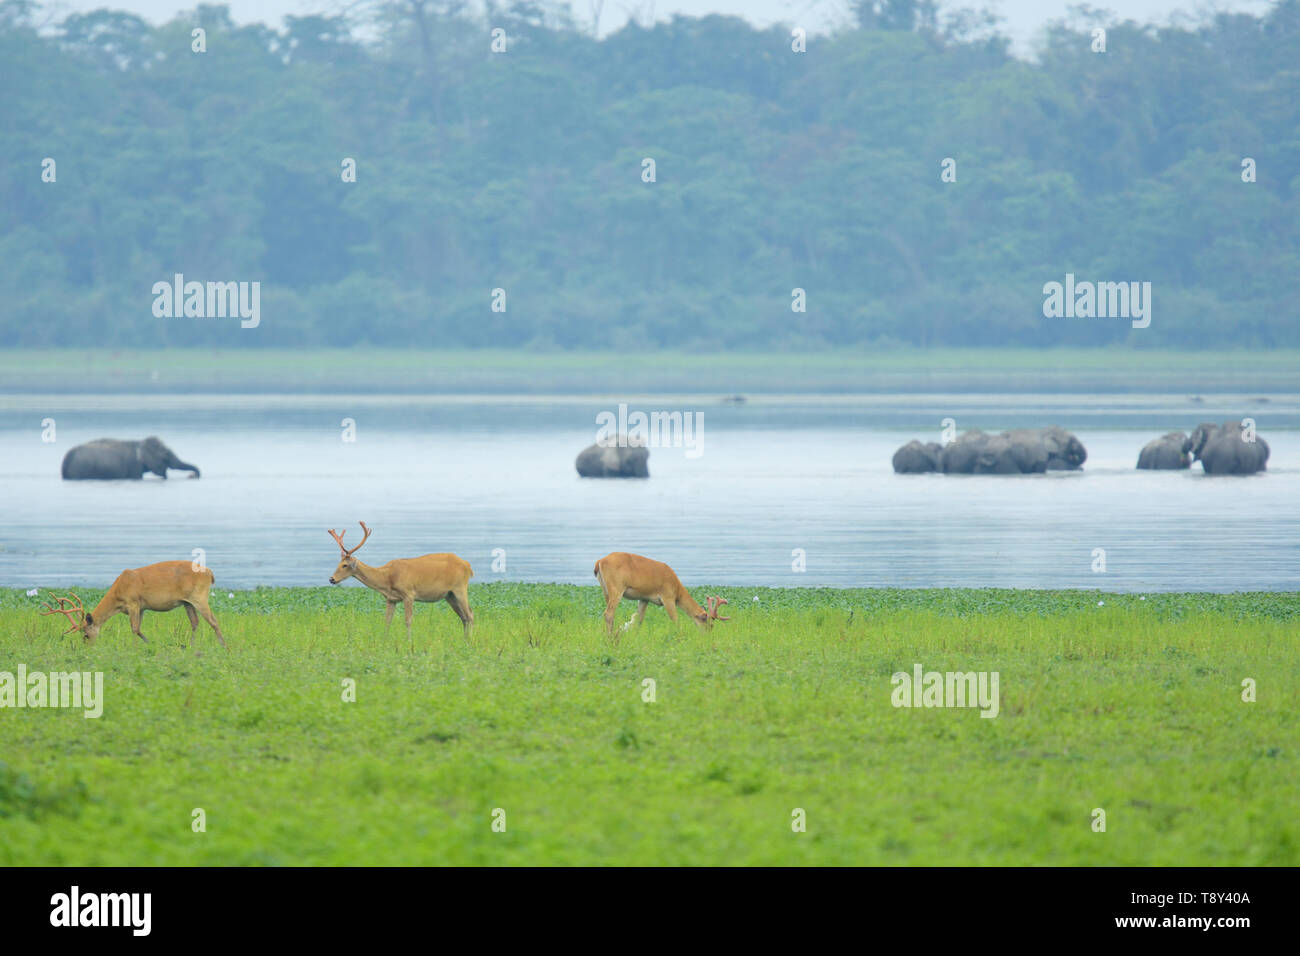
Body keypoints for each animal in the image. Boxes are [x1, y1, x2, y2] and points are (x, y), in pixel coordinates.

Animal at [37, 561, 226, 650]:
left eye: (86, 635)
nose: (87, 648)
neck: (117, 596)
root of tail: (210, 573)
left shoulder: (134, 603)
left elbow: (134, 629)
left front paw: (136, 649)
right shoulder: (141, 607)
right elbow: (139, 629)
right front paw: (150, 644)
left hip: (199, 596)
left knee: (214, 621)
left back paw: (224, 647)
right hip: (187, 602)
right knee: (195, 623)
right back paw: (192, 647)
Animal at [327, 522, 475, 642]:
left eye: (345, 565)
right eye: (338, 563)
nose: (331, 579)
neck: (386, 579)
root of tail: (468, 565)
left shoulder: (409, 593)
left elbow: (408, 620)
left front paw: (408, 641)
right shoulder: (391, 598)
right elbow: (387, 620)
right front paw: (384, 641)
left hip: (460, 588)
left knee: (470, 614)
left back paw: (471, 641)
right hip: (449, 595)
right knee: (463, 617)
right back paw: (465, 639)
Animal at [592, 554, 728, 634]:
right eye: (710, 624)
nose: (708, 636)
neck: (678, 591)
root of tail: (599, 562)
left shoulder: (644, 598)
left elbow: (639, 620)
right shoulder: (668, 597)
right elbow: (676, 620)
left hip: (605, 590)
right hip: (616, 588)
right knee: (608, 613)